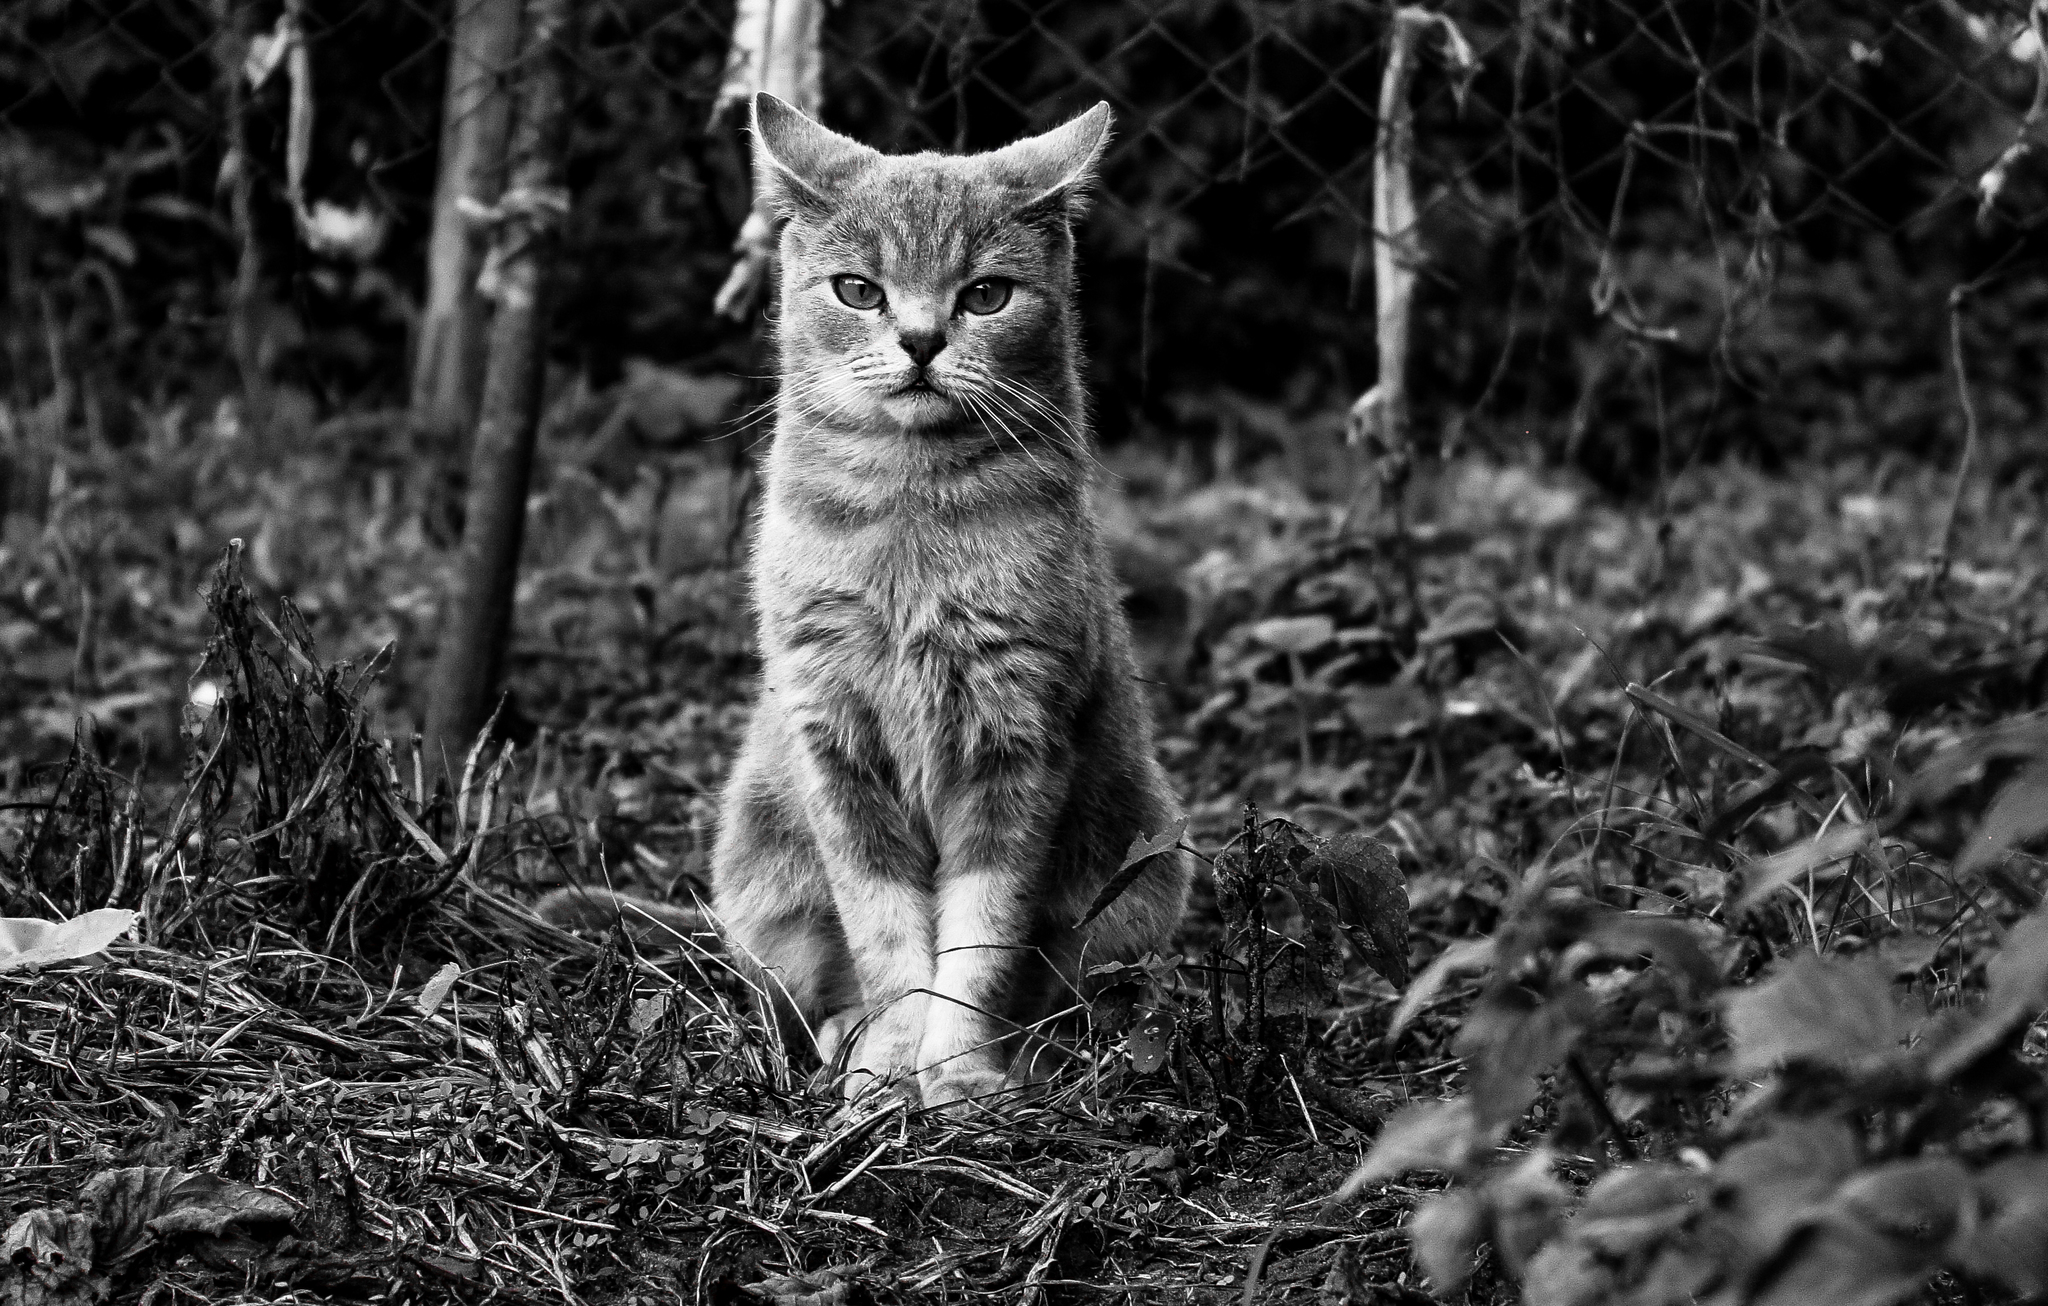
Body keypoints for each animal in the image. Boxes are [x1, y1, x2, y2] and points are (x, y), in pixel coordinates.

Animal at [536, 94, 1196, 1113]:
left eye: (985, 296)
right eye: (857, 290)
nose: (921, 341)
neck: (909, 525)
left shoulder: (1018, 738)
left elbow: (979, 934)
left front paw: (959, 1071)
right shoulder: (834, 740)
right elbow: (885, 929)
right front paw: (891, 1059)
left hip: (1144, 866)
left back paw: (1042, 1053)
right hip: (760, 858)